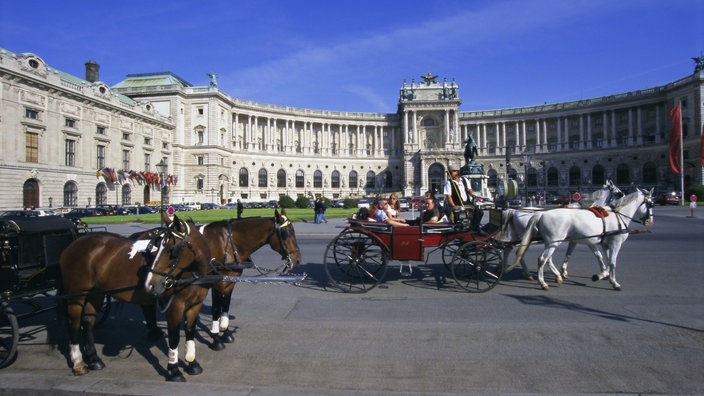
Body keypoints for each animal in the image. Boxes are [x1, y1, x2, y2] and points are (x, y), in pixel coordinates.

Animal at [58, 215, 212, 382]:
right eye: (159, 246)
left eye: (172, 250)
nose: (150, 284)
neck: (192, 272)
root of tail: (74, 243)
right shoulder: (174, 306)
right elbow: (174, 337)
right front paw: (174, 370)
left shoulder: (195, 304)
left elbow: (190, 331)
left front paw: (192, 364)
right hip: (77, 294)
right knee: (74, 324)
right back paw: (78, 363)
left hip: (96, 293)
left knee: (87, 322)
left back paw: (94, 359)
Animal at [512, 187, 656, 290]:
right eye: (651, 204)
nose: (650, 221)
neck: (617, 216)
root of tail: (541, 214)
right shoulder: (615, 243)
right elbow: (611, 262)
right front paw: (612, 281)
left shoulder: (596, 242)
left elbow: (601, 257)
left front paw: (602, 275)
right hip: (552, 242)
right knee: (541, 258)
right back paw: (542, 282)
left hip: (549, 242)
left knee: (538, 256)